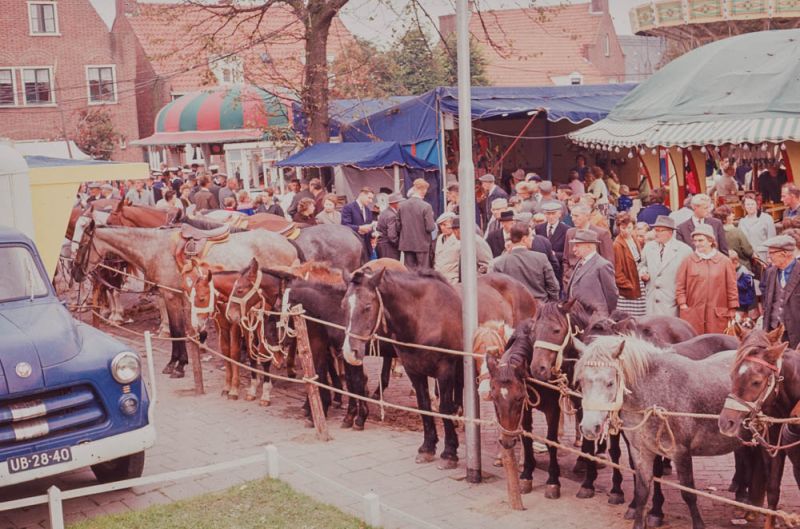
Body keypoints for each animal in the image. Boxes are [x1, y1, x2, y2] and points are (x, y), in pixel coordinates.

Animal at [71, 220, 299, 378]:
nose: (76, 273)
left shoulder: (170, 295)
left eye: (82, 245)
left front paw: (177, 365)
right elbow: (180, 330)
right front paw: (179, 361)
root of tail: (288, 242)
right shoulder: (179, 296)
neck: (155, 248)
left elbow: (176, 330)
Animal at [342, 268, 463, 468]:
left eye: (367, 307)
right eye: (343, 306)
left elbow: (444, 408)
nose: (349, 352)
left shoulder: (445, 370)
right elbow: (424, 406)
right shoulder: (414, 370)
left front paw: (450, 453)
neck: (424, 316)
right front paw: (428, 448)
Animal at [577, 335, 750, 529]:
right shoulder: (641, 452)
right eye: (581, 381)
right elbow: (642, 492)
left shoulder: (680, 453)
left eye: (610, 383)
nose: (589, 427)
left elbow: (689, 494)